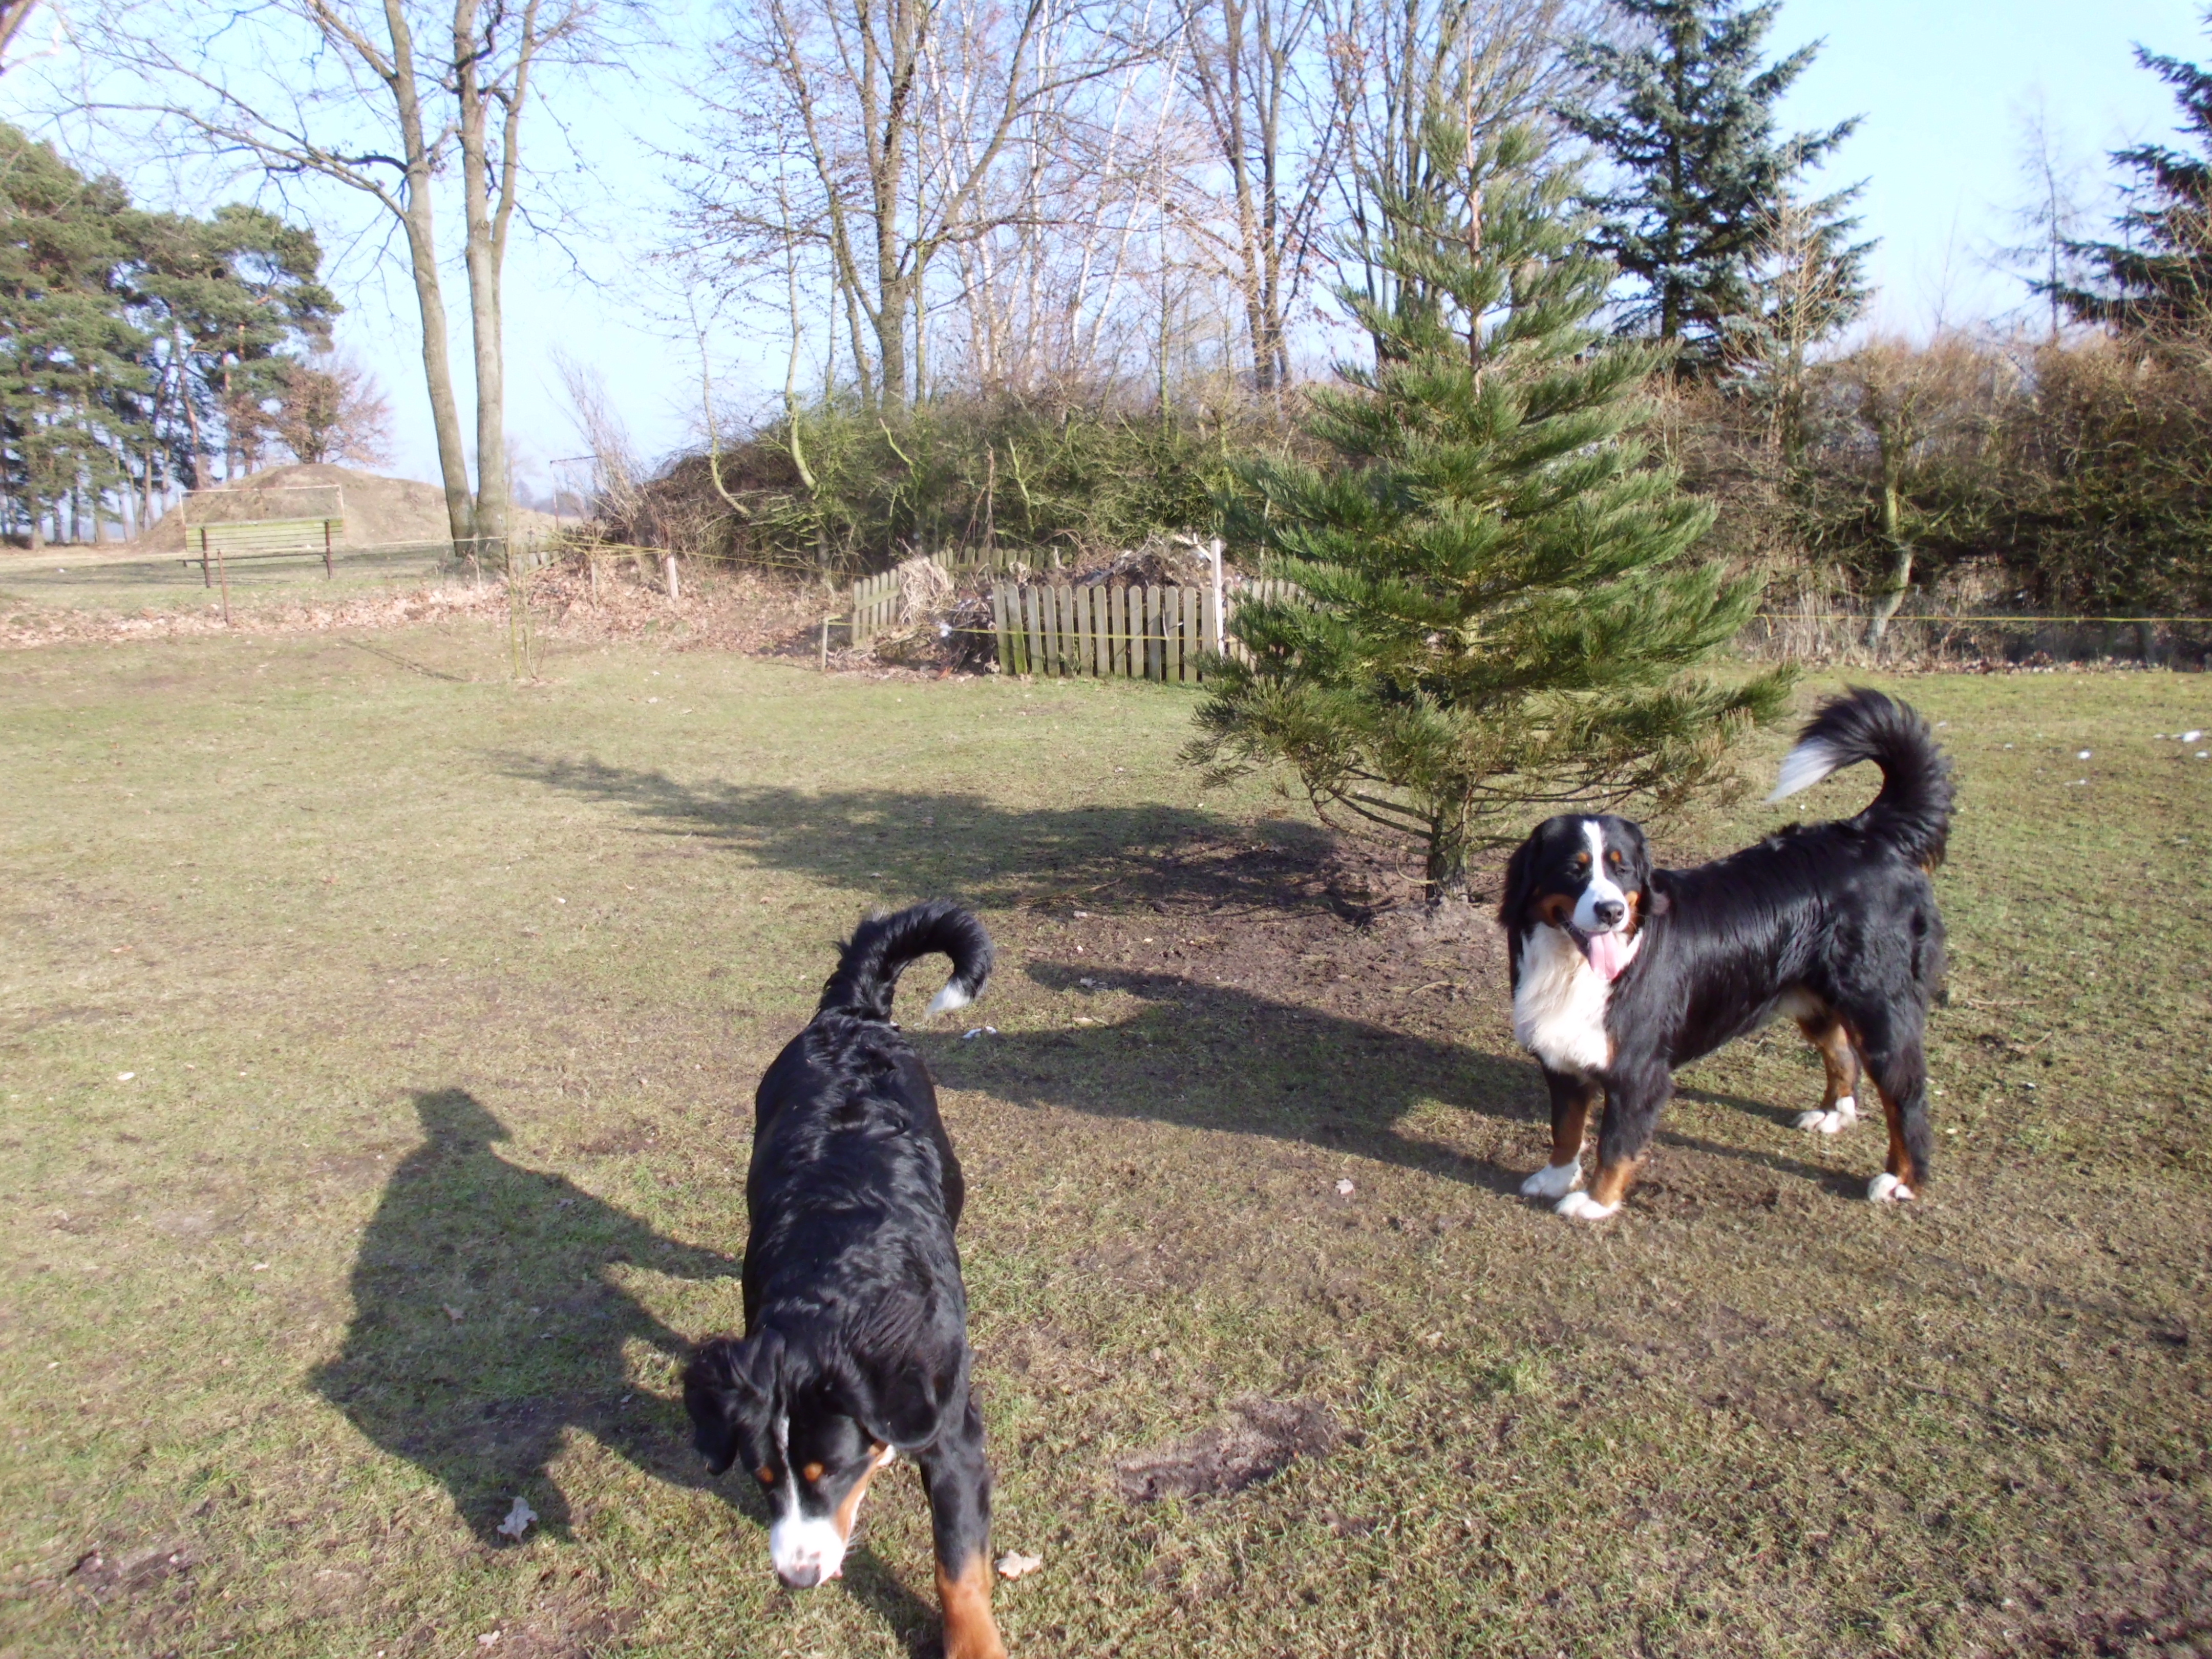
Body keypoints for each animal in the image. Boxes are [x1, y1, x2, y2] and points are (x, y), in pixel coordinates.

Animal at [684, 900, 1007, 1659]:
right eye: (762, 1478)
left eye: (826, 1473)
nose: (797, 1578)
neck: (838, 1281)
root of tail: (851, 1015)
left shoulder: (954, 1431)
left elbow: (958, 1566)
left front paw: (975, 1644)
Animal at [1499, 687, 1952, 1219]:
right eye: (1574, 868)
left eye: (1623, 869)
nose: (1611, 911)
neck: (1574, 967)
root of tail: (1868, 835)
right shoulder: (1562, 1055)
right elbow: (1565, 1126)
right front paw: (1555, 1177)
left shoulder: (1638, 1071)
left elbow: (1616, 1145)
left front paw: (1595, 1202)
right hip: (1815, 998)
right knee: (1843, 1055)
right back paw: (1832, 1115)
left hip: (1880, 1007)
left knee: (1907, 1096)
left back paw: (1902, 1179)